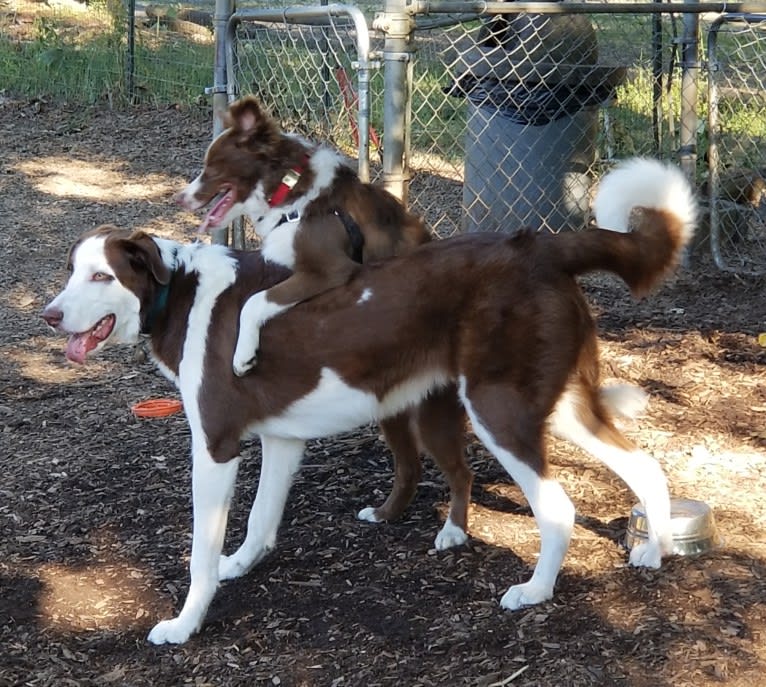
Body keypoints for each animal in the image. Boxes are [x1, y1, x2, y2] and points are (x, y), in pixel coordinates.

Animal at [43, 157, 704, 644]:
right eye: (71, 271)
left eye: (103, 276)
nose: (48, 316)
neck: (178, 292)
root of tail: (540, 246)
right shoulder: (281, 440)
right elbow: (259, 522)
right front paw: (243, 565)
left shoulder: (215, 448)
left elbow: (199, 555)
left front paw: (184, 624)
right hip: (562, 405)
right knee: (644, 465)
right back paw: (656, 548)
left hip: (500, 411)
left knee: (559, 508)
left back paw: (535, 592)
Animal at [172, 95, 432, 376]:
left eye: (211, 170)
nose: (179, 199)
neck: (287, 189)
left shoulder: (331, 269)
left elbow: (254, 300)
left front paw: (243, 356)